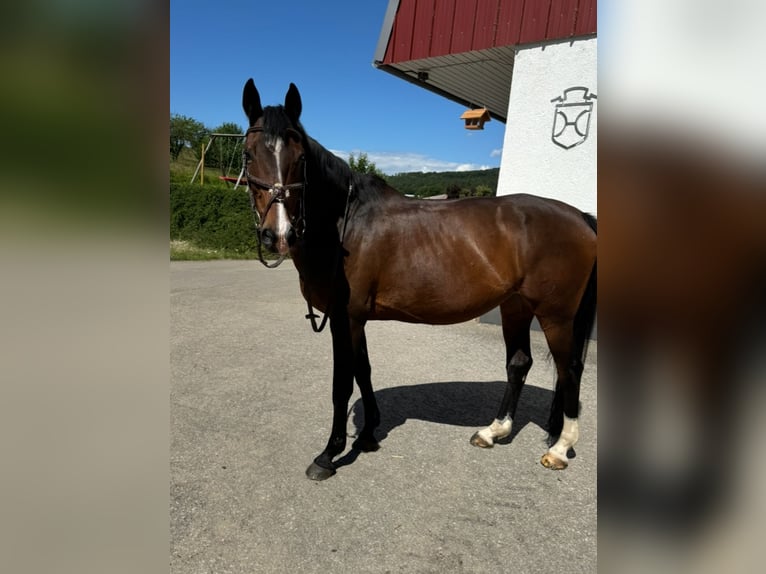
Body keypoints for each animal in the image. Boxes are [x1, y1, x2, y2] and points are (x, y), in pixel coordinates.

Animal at [243, 77, 596, 482]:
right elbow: (364, 371)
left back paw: (559, 447)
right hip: (515, 307)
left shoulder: (344, 318)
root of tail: (580, 216)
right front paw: (368, 433)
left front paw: (329, 454)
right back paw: (494, 431)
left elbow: (342, 383)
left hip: (556, 315)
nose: (279, 234)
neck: (347, 223)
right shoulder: (356, 318)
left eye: (300, 158)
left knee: (569, 369)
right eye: (248, 155)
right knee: (519, 363)